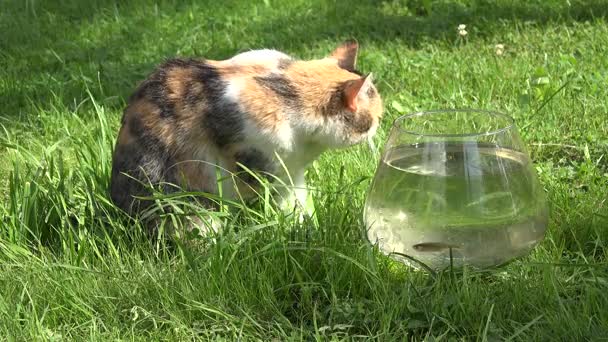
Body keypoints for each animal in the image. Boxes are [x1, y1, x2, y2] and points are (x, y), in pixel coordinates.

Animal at [110, 40, 380, 220]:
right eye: (376, 117)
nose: (380, 126)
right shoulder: (261, 158)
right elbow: (283, 198)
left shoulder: (293, 170)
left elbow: (300, 197)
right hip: (187, 198)